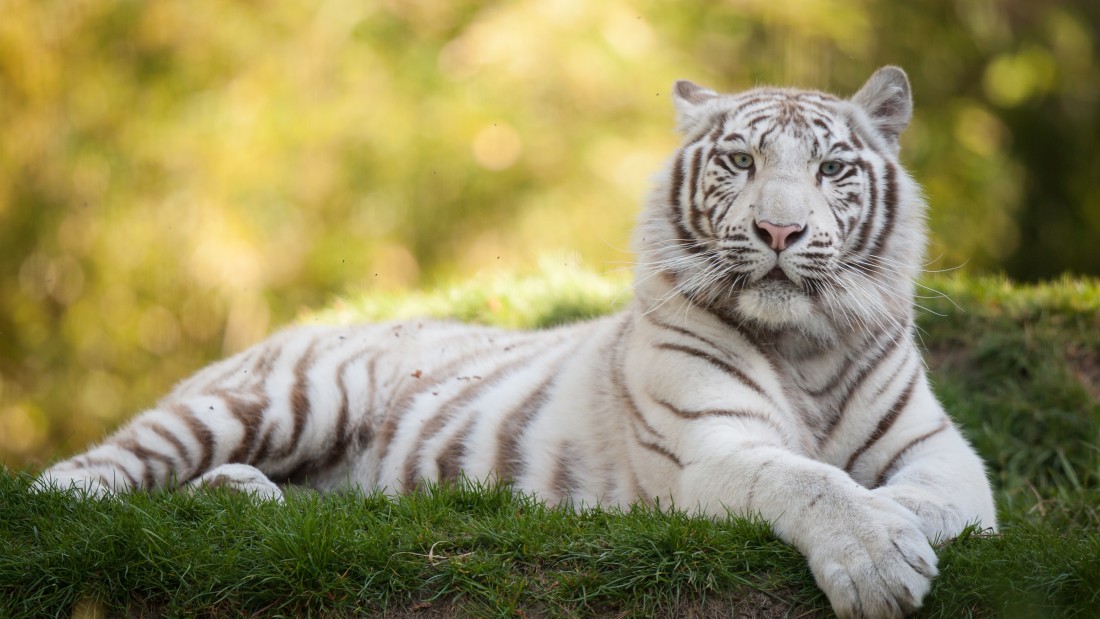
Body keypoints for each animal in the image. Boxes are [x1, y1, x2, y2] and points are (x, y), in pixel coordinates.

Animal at [37, 66, 996, 618]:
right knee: (89, 475)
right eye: (740, 162)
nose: (780, 231)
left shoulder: (944, 455)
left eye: (832, 168)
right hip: (277, 399)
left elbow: (932, 499)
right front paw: (876, 558)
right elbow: (808, 479)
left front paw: (899, 527)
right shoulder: (710, 449)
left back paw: (244, 497)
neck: (806, 350)